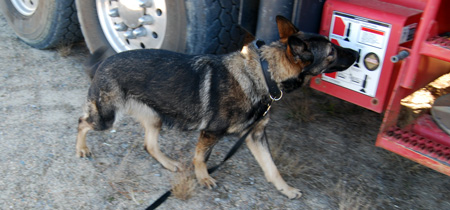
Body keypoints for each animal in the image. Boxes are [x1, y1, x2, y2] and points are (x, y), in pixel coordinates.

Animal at [77, 16, 358, 199]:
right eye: (332, 52)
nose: (356, 53)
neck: (264, 74)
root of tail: (103, 62)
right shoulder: (211, 133)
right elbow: (200, 158)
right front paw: (203, 178)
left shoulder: (256, 136)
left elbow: (272, 168)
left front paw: (285, 189)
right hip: (106, 118)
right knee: (82, 122)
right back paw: (81, 148)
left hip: (155, 118)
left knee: (149, 145)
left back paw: (168, 163)